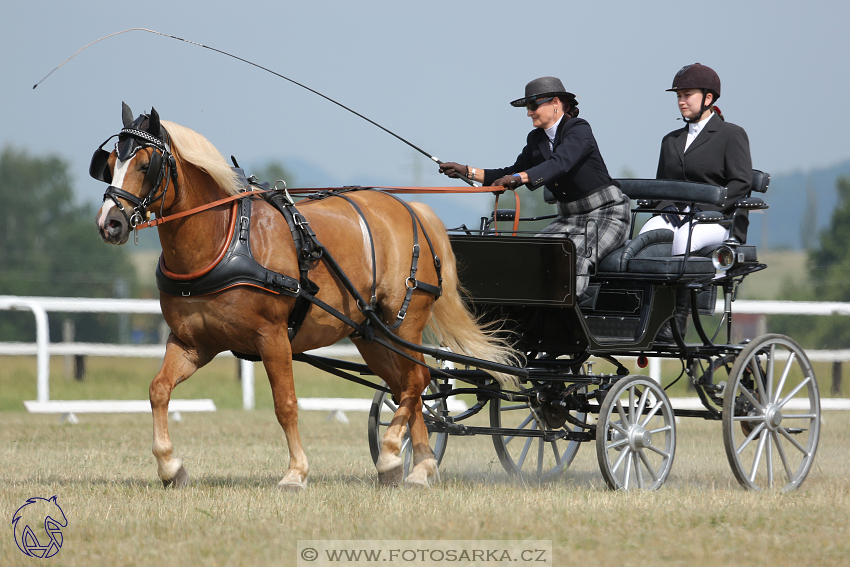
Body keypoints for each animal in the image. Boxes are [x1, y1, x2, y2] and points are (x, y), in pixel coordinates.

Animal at [93, 105, 516, 488]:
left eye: (145, 165)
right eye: (110, 162)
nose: (109, 224)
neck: (225, 239)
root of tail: (412, 209)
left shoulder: (272, 337)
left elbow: (286, 405)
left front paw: (296, 473)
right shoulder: (193, 342)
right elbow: (158, 390)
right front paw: (170, 467)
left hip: (404, 322)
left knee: (417, 380)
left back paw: (394, 454)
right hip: (371, 335)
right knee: (407, 389)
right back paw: (416, 467)